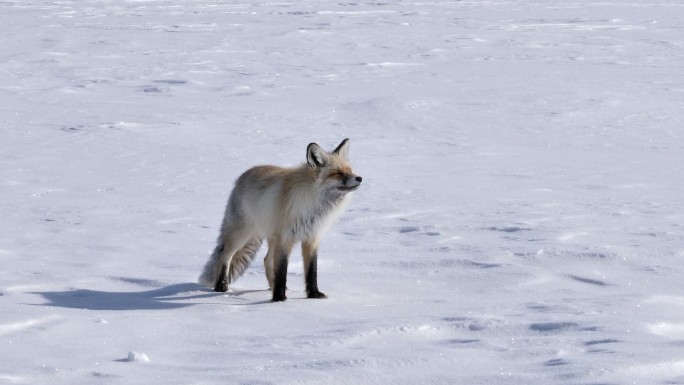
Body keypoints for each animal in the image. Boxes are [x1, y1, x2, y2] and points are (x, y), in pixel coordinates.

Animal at [199, 140, 364, 302]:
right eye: (337, 173)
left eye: (350, 170)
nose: (359, 178)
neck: (312, 206)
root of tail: (242, 177)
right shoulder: (284, 239)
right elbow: (282, 270)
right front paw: (279, 298)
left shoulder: (311, 238)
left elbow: (311, 271)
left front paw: (313, 294)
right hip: (242, 234)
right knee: (225, 255)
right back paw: (221, 286)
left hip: (271, 238)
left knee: (266, 260)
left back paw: (271, 287)